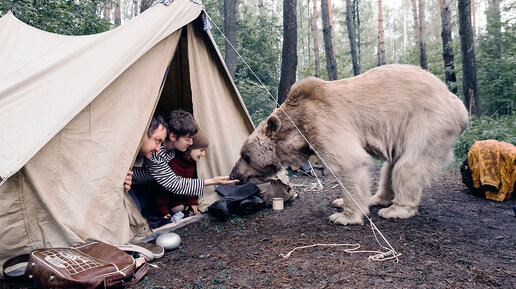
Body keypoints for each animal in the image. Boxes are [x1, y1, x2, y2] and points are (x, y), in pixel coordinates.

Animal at [232, 64, 470, 224]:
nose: (234, 175)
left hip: (428, 122)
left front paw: (343, 216)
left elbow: (349, 163)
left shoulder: (322, 122)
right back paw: (376, 198)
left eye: (245, 155)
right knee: (390, 166)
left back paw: (396, 210)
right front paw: (340, 203)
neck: (297, 124)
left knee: (408, 165)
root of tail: (459, 104)